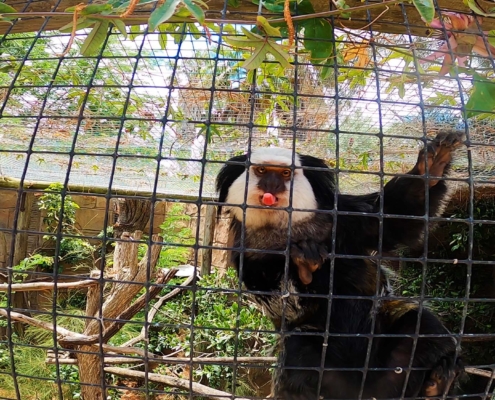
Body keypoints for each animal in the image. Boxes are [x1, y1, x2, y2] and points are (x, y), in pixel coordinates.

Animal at [216, 130, 464, 398]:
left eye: (284, 174)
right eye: (261, 171)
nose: (272, 187)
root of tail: (362, 388)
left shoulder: (344, 216)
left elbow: (393, 219)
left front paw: (431, 166)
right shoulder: (244, 252)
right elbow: (281, 304)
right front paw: (304, 267)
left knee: (419, 322)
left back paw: (438, 382)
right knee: (297, 350)